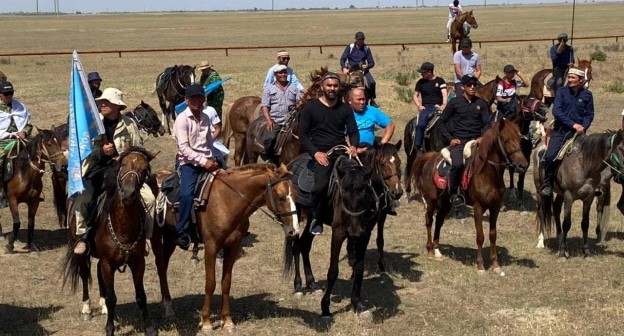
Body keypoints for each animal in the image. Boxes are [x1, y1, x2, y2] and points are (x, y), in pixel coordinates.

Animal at [61, 149, 157, 336]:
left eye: (144, 170)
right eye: (123, 165)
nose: (128, 194)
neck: (123, 227)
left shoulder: (137, 262)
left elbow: (141, 296)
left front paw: (149, 327)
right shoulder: (108, 263)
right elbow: (112, 297)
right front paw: (110, 328)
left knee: (98, 272)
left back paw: (103, 305)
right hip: (81, 252)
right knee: (85, 274)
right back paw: (86, 309)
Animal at [149, 163, 300, 334]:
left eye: (295, 195)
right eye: (281, 197)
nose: (294, 231)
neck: (226, 201)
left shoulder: (233, 247)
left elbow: (226, 282)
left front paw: (227, 320)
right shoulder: (211, 246)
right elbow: (210, 283)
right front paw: (206, 323)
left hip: (170, 238)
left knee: (163, 265)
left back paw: (168, 306)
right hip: (157, 236)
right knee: (160, 265)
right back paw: (168, 308)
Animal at [286, 140, 402, 298]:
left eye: (399, 162)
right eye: (383, 163)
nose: (397, 192)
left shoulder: (369, 227)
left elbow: (374, 245)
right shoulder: (340, 230)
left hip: (312, 219)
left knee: (305, 244)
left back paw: (312, 283)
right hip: (297, 216)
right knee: (296, 245)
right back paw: (298, 285)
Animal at [412, 119, 528, 274]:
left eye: (520, 139)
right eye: (505, 139)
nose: (523, 165)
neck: (487, 174)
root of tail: (430, 159)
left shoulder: (495, 207)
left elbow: (493, 235)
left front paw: (496, 265)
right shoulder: (478, 208)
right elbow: (480, 236)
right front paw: (480, 266)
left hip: (446, 203)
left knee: (439, 221)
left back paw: (437, 251)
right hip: (431, 201)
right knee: (429, 220)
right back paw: (430, 250)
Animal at [532, 130, 624, 258]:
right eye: (621, 148)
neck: (584, 164)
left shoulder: (589, 197)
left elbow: (585, 224)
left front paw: (586, 252)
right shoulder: (569, 196)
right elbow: (566, 223)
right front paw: (562, 253)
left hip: (560, 194)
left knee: (556, 208)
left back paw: (560, 241)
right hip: (539, 190)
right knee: (542, 212)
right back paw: (541, 242)